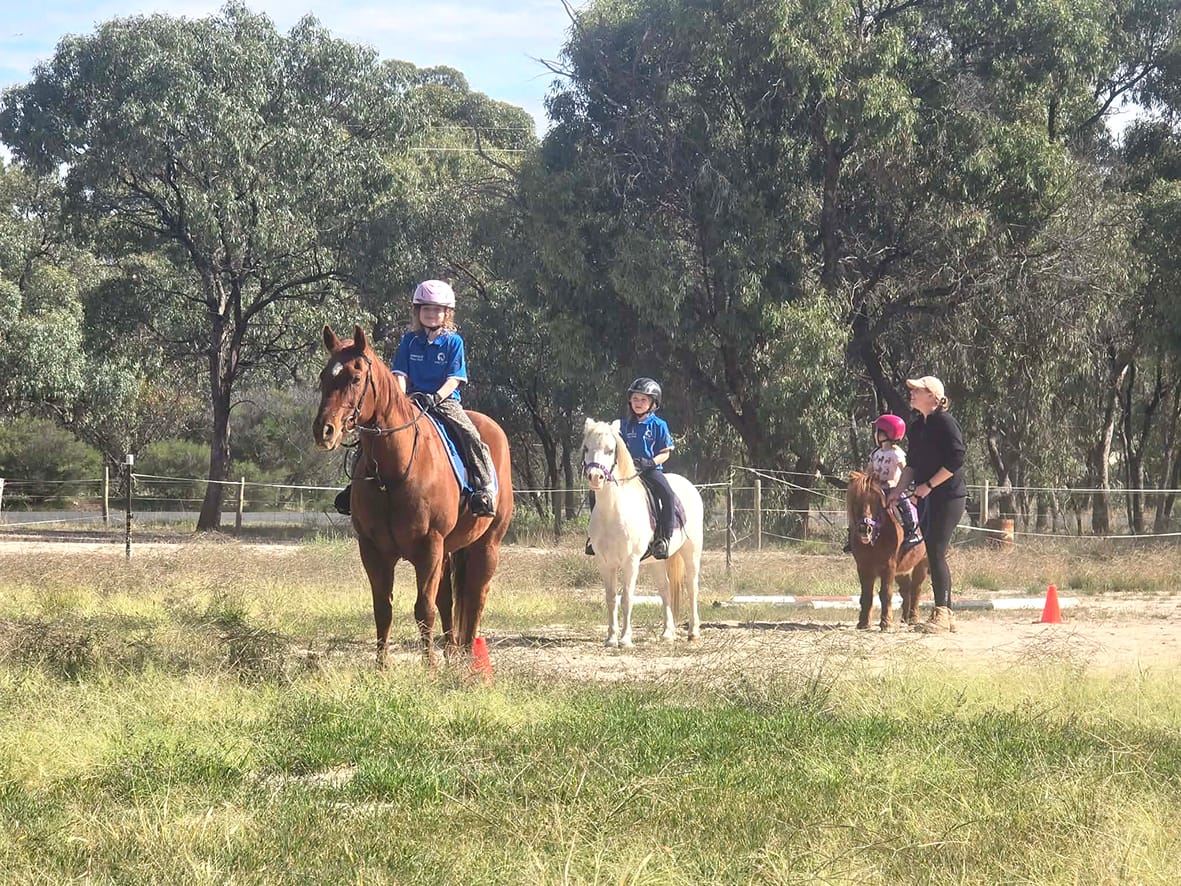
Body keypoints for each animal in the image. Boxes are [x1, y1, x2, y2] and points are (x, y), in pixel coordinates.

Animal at [312, 324, 513, 668]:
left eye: (355, 378)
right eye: (325, 375)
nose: (323, 430)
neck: (392, 473)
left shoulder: (429, 547)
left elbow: (424, 609)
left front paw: (429, 667)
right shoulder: (373, 549)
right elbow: (384, 608)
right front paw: (381, 668)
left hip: (486, 546)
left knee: (476, 598)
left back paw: (467, 659)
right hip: (449, 550)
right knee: (449, 599)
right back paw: (452, 654)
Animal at [581, 418, 704, 647]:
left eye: (611, 450)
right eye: (586, 448)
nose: (595, 477)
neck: (613, 510)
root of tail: (687, 484)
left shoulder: (630, 561)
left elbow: (627, 598)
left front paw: (625, 639)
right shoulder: (604, 562)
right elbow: (611, 598)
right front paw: (611, 638)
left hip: (691, 551)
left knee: (692, 587)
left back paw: (693, 632)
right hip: (656, 561)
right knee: (665, 590)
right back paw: (667, 633)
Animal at [846, 471, 929, 631]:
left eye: (877, 500)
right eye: (855, 499)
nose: (865, 529)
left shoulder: (889, 567)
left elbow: (886, 593)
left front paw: (886, 623)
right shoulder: (863, 568)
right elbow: (867, 595)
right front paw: (863, 623)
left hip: (921, 564)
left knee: (916, 589)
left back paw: (913, 618)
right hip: (902, 570)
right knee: (906, 590)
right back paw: (904, 618)